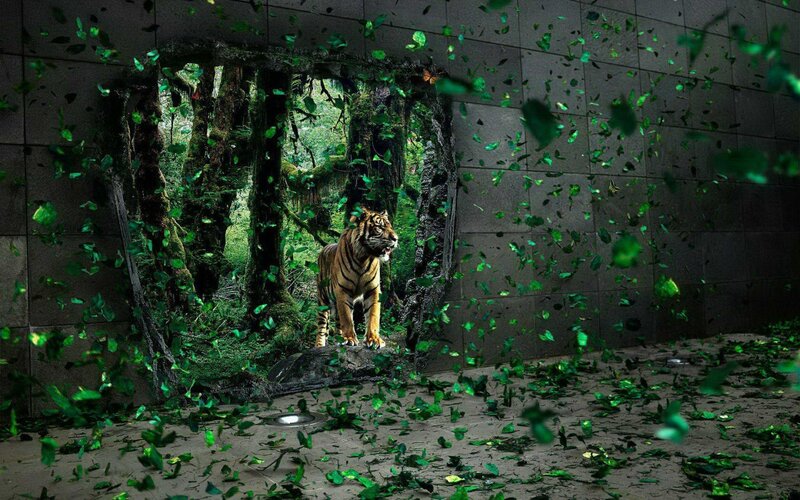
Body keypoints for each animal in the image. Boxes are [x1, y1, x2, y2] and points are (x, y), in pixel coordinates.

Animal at [315, 208, 399, 349]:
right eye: (379, 227)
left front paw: (374, 339)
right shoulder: (342, 290)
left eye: (390, 226)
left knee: (337, 323)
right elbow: (347, 317)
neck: (363, 258)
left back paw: (339, 338)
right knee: (321, 327)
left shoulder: (373, 289)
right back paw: (320, 345)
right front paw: (349, 339)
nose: (396, 239)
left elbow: (373, 315)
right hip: (323, 300)